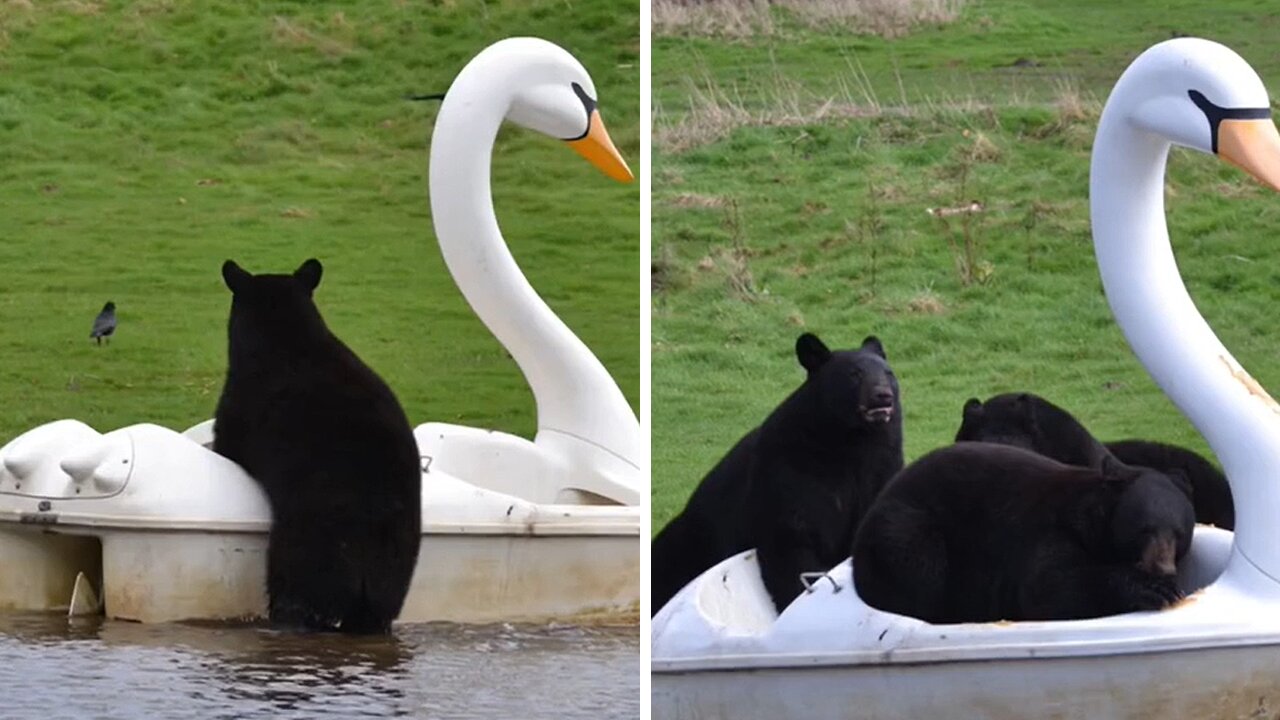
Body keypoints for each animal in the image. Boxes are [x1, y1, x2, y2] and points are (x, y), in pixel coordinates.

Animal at [213, 258, 419, 632]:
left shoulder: (240, 410)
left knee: (296, 596)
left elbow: (227, 444)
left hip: (310, 555)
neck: (286, 340)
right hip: (396, 571)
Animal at [655, 333, 906, 614]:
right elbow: (791, 542)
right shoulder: (788, 473)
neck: (852, 441)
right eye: (855, 374)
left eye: (888, 373)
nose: (882, 396)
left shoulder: (881, 468)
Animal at [855, 440, 1192, 620]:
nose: (1162, 568)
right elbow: (1050, 587)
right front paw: (1155, 590)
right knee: (919, 568)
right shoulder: (1050, 530)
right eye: (1144, 529)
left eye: (1178, 534)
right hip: (905, 530)